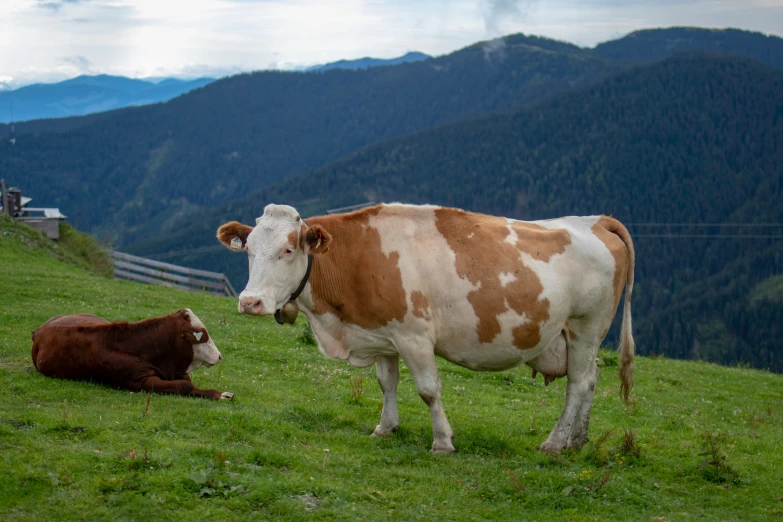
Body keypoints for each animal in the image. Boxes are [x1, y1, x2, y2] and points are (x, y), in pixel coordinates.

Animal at [32, 304, 234, 398]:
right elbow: (185, 385)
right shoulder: (138, 381)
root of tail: (40, 329)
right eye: (202, 335)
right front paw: (219, 395)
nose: (219, 356)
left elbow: (187, 381)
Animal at [217, 203, 632, 450]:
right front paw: (385, 427)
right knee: (591, 378)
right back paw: (577, 440)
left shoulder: (413, 335)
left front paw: (442, 441)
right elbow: (387, 384)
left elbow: (429, 390)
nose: (250, 302)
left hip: (585, 327)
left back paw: (554, 443)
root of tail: (595, 220)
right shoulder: (382, 334)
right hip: (579, 338)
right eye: (248, 250)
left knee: (578, 384)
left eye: (288, 250)